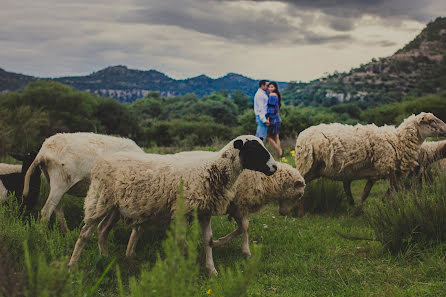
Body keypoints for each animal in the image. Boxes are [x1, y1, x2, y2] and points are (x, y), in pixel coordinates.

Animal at [66, 135, 278, 274]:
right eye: (253, 149)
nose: (274, 167)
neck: (210, 169)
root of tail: (101, 162)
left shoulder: (204, 211)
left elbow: (208, 240)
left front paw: (211, 270)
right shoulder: (182, 210)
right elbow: (182, 240)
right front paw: (188, 260)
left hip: (115, 206)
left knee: (102, 230)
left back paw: (105, 257)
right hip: (99, 199)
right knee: (85, 232)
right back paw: (72, 265)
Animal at [296, 112, 446, 214]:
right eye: (432, 120)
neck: (397, 140)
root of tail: (302, 135)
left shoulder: (378, 173)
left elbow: (367, 193)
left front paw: (358, 211)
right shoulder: (389, 168)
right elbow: (397, 190)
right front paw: (404, 205)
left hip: (315, 169)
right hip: (308, 165)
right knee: (300, 185)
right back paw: (300, 212)